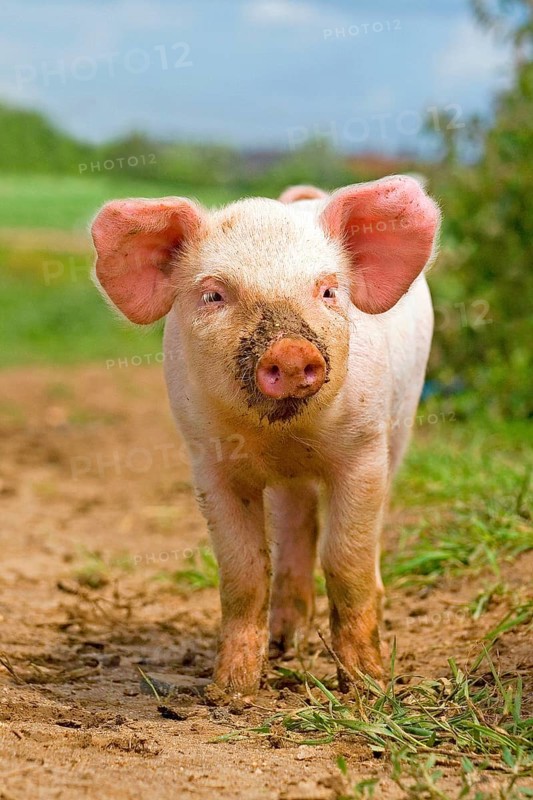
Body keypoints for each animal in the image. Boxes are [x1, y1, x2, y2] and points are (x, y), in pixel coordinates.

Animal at [91, 175, 440, 697]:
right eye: (214, 295)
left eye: (328, 290)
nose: (292, 352)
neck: (285, 437)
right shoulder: (209, 461)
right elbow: (244, 570)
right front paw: (230, 692)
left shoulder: (364, 449)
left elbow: (346, 561)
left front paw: (368, 687)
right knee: (297, 525)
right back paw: (282, 644)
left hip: (402, 419)